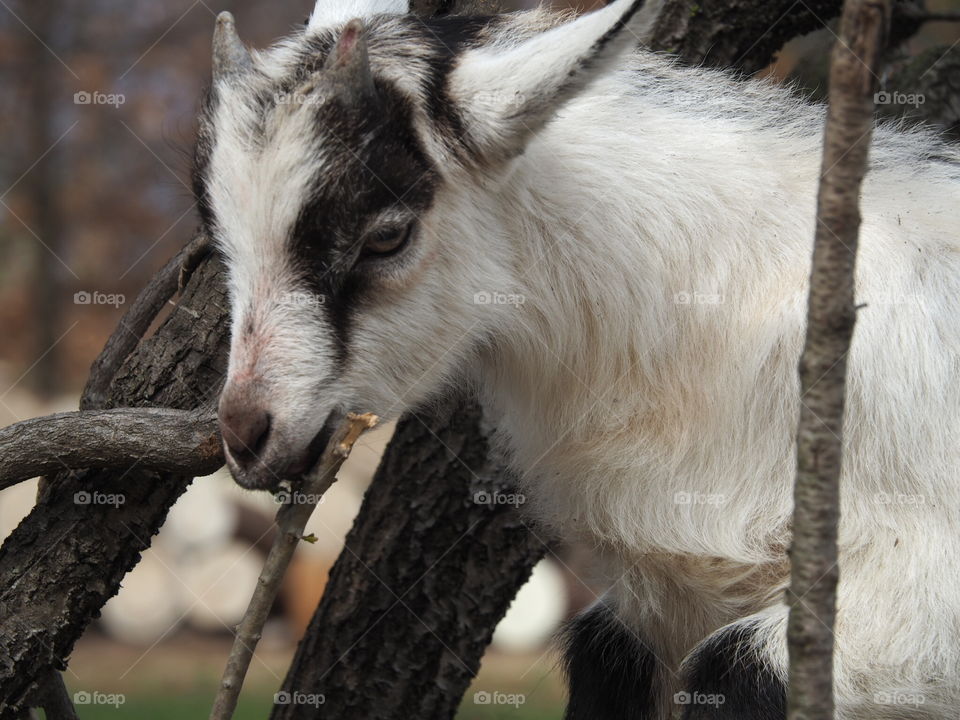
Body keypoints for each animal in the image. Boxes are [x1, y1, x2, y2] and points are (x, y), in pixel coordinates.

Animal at [195, 1, 960, 716]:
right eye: (221, 232)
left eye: (387, 235)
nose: (248, 434)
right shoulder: (661, 609)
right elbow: (602, 652)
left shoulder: (914, 599)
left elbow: (741, 669)